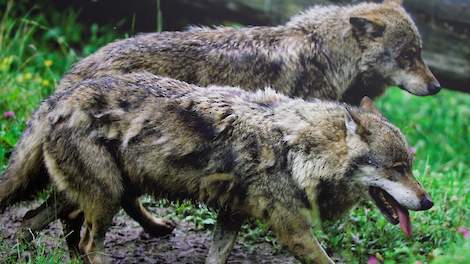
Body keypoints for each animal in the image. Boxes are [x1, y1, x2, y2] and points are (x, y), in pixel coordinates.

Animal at [2, 71, 434, 262]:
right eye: (397, 168)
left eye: (411, 165)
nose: (428, 202)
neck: (297, 150)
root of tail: (59, 96)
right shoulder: (293, 231)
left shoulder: (230, 215)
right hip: (106, 197)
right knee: (85, 241)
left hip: (99, 193)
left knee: (32, 221)